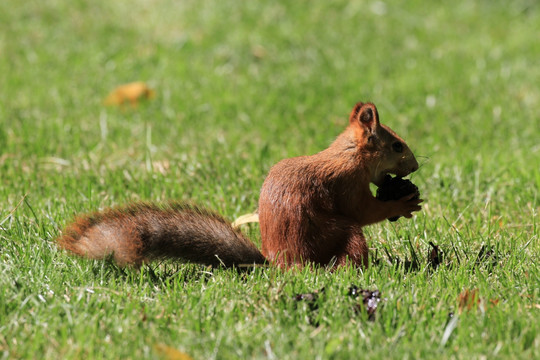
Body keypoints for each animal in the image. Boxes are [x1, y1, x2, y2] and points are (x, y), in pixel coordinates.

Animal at [58, 101, 422, 268]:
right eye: (397, 146)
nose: (416, 166)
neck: (348, 154)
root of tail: (278, 262)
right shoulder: (347, 183)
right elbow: (363, 211)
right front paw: (402, 202)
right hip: (338, 233)